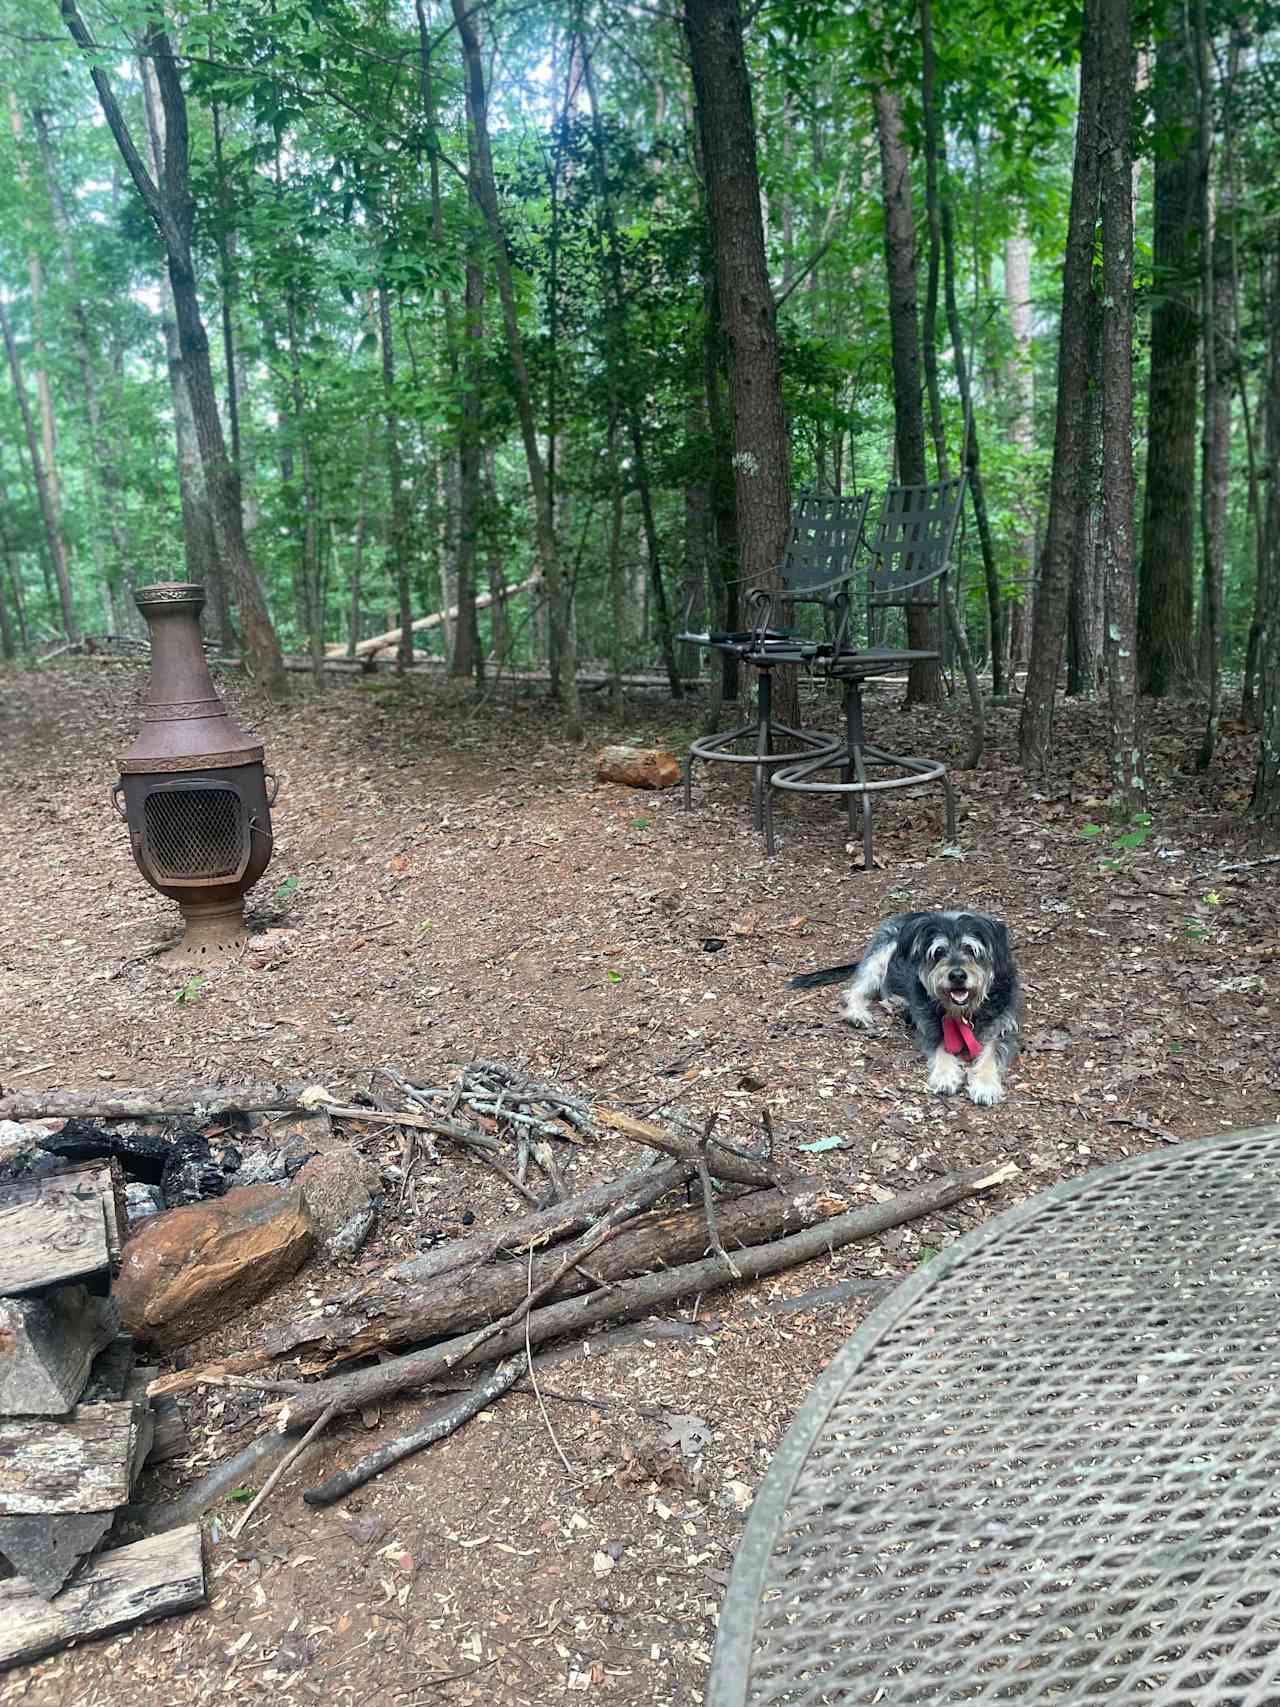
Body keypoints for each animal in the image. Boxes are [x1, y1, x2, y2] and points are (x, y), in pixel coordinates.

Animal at [791, 908, 1024, 1106]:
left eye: (970, 949)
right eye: (939, 952)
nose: (957, 975)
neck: (963, 1012)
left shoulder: (1002, 1027)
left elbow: (991, 1053)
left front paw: (985, 1086)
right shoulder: (930, 1025)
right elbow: (941, 1047)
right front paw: (945, 1075)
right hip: (880, 954)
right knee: (855, 991)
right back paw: (859, 1013)